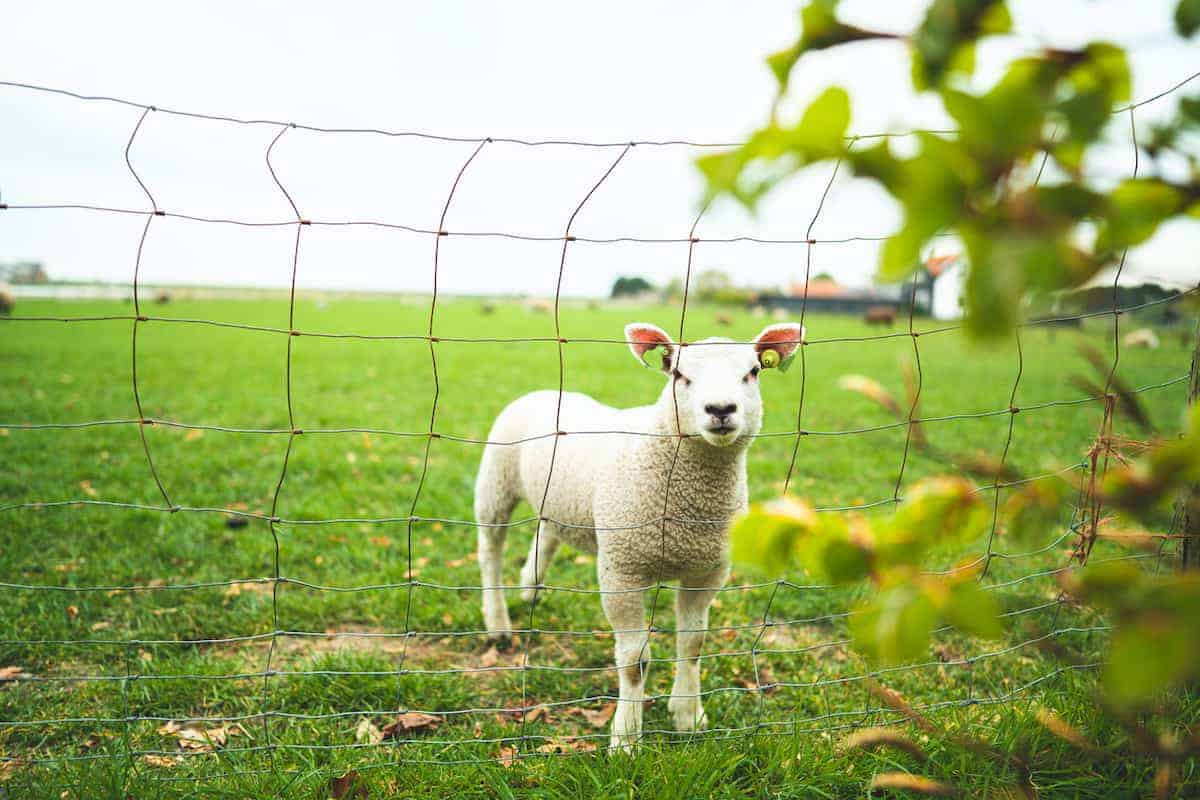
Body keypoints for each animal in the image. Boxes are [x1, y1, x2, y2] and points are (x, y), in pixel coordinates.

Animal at [472, 319, 801, 753]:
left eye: (753, 372)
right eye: (679, 374)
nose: (720, 410)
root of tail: (544, 391)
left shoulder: (707, 571)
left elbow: (692, 645)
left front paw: (688, 716)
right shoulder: (622, 571)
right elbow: (634, 662)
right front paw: (626, 738)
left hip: (558, 499)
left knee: (548, 531)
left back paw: (531, 586)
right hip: (496, 483)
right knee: (490, 550)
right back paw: (498, 621)